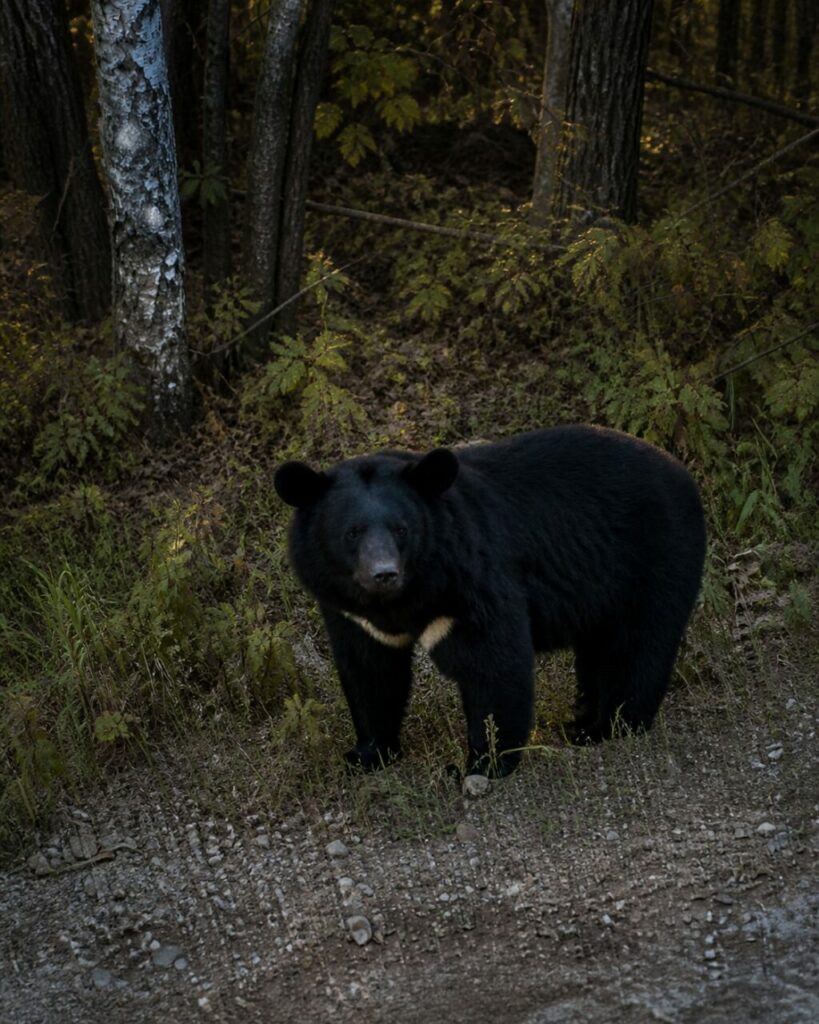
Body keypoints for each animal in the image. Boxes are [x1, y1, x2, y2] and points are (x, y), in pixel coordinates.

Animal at [274, 426, 706, 777]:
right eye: (352, 532)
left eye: (401, 529)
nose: (384, 574)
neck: (405, 598)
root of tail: (685, 474)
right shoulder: (351, 613)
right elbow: (369, 672)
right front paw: (366, 754)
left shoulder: (470, 580)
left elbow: (492, 663)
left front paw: (481, 763)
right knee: (598, 649)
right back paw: (582, 721)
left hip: (653, 558)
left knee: (635, 646)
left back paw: (609, 727)